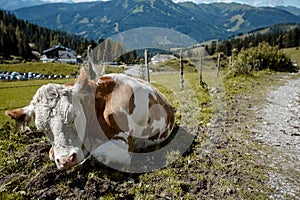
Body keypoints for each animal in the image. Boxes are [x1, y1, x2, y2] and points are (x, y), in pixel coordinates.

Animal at [5, 68, 175, 170]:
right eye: (41, 128)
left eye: (73, 116)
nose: (66, 160)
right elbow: (51, 153)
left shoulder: (124, 144)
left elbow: (97, 154)